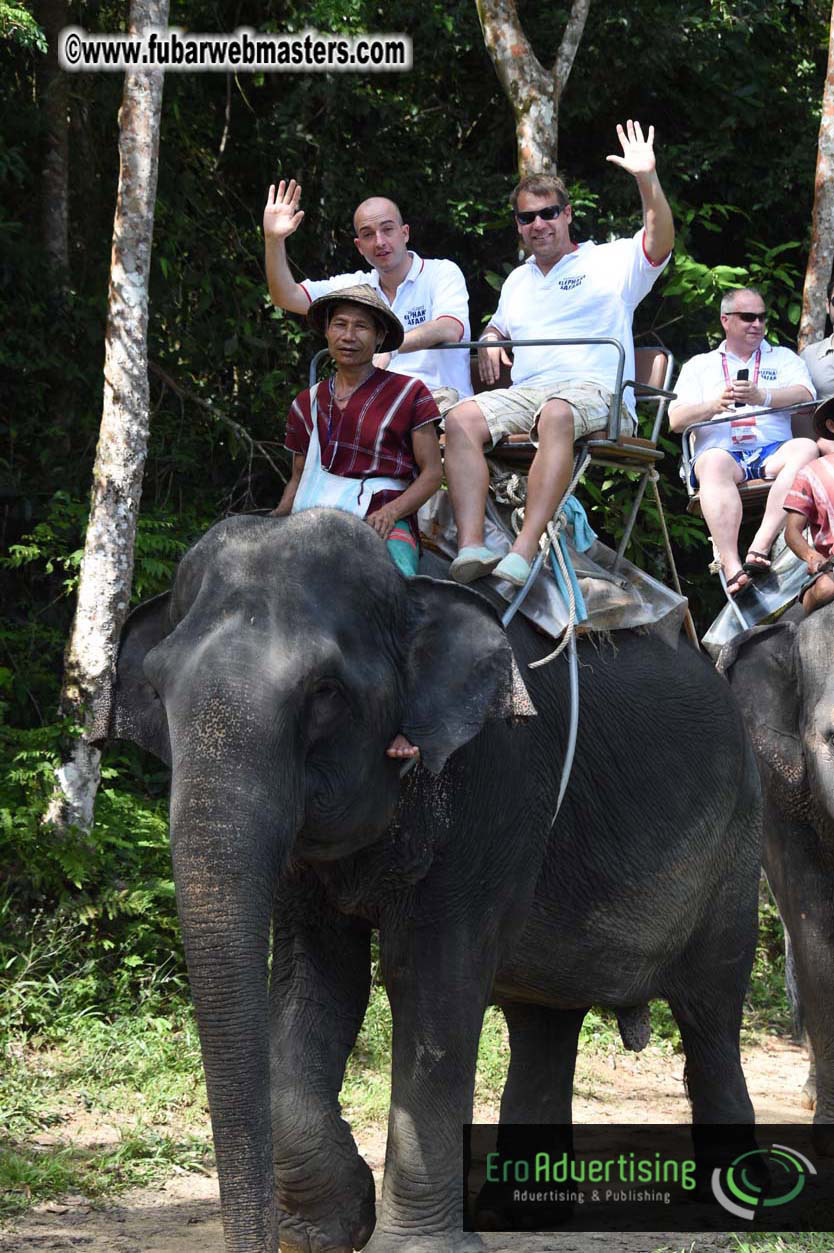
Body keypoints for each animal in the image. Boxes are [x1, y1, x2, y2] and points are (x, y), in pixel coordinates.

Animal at [96, 508, 762, 1253]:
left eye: (324, 692)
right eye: (158, 689)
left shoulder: (495, 780)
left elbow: (431, 977)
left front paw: (407, 1244)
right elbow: (317, 980)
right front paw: (330, 1228)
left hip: (737, 844)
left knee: (711, 1009)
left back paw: (732, 1212)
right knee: (545, 1016)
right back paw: (517, 1214)